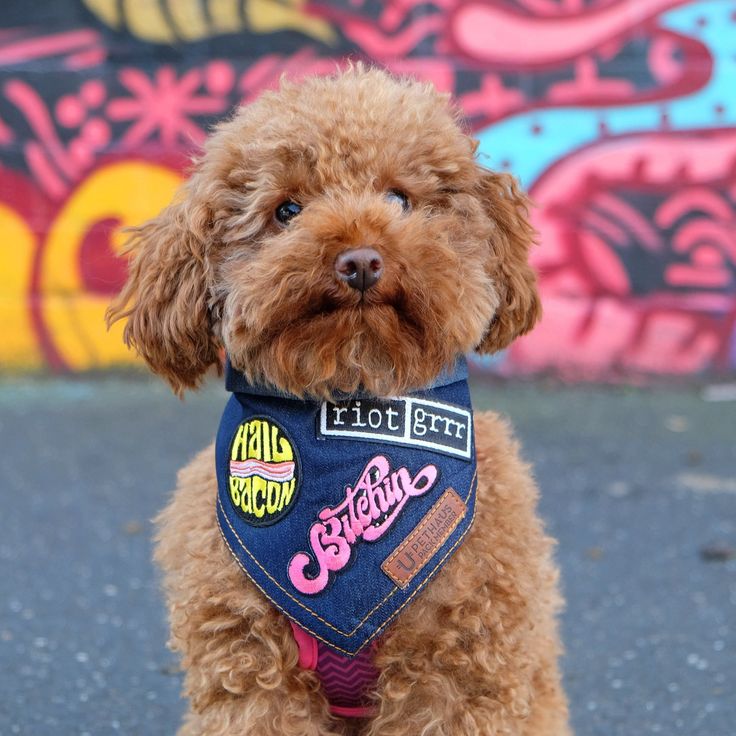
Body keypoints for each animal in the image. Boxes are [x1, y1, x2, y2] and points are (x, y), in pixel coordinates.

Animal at [108, 66, 568, 732]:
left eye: (399, 198)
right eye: (287, 210)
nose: (360, 260)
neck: (349, 411)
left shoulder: (457, 672)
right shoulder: (249, 673)